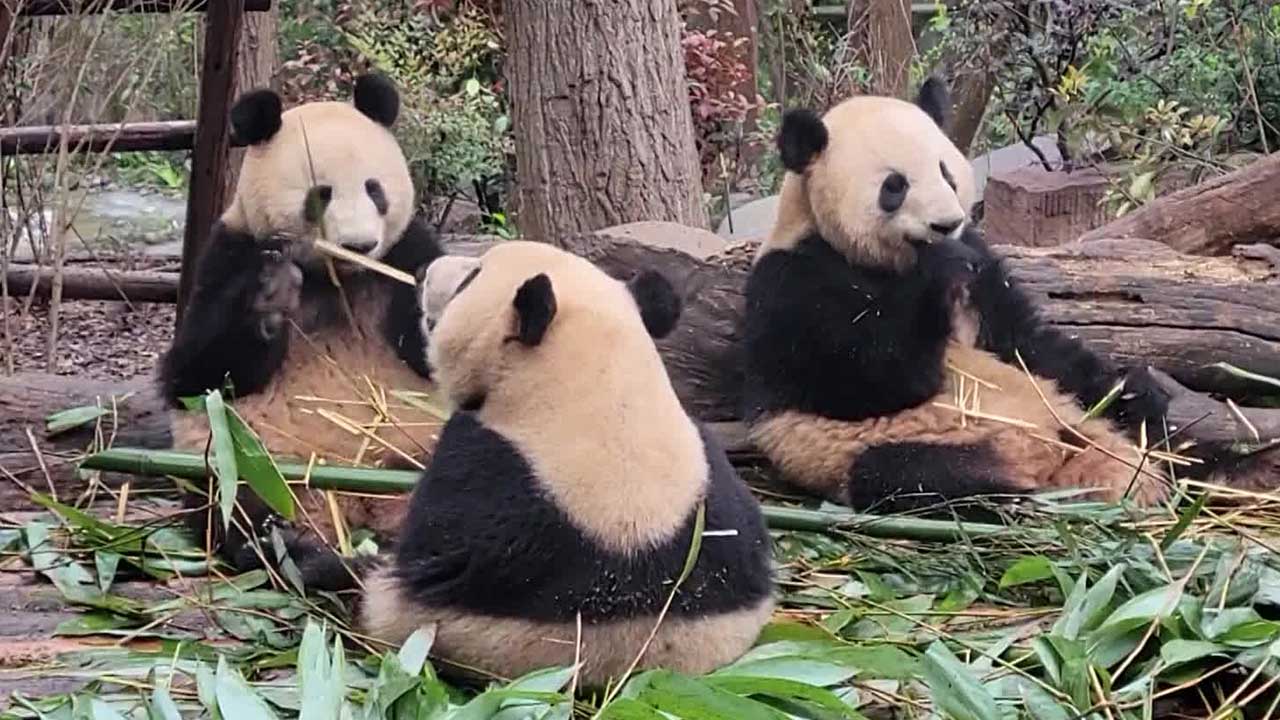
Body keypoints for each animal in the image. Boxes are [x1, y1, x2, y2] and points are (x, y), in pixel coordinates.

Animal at [160, 75, 445, 568]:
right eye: (321, 194)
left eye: (374, 189)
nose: (360, 244)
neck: (335, 278)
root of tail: (357, 504)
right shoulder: (229, 252)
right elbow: (193, 375)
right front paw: (272, 293)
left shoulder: (405, 252)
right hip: (250, 459)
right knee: (238, 500)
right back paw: (290, 547)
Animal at [345, 239, 768, 681]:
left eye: (470, 278)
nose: (423, 271)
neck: (605, 391)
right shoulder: (722, 488)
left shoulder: (480, 477)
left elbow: (429, 550)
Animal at [742, 81, 1187, 512]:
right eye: (894, 186)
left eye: (946, 172)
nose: (946, 224)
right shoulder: (793, 282)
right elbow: (869, 377)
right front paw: (941, 270)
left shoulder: (982, 267)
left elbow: (1024, 341)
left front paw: (1131, 387)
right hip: (871, 451)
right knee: (919, 475)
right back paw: (1016, 492)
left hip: (1076, 418)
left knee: (1155, 434)